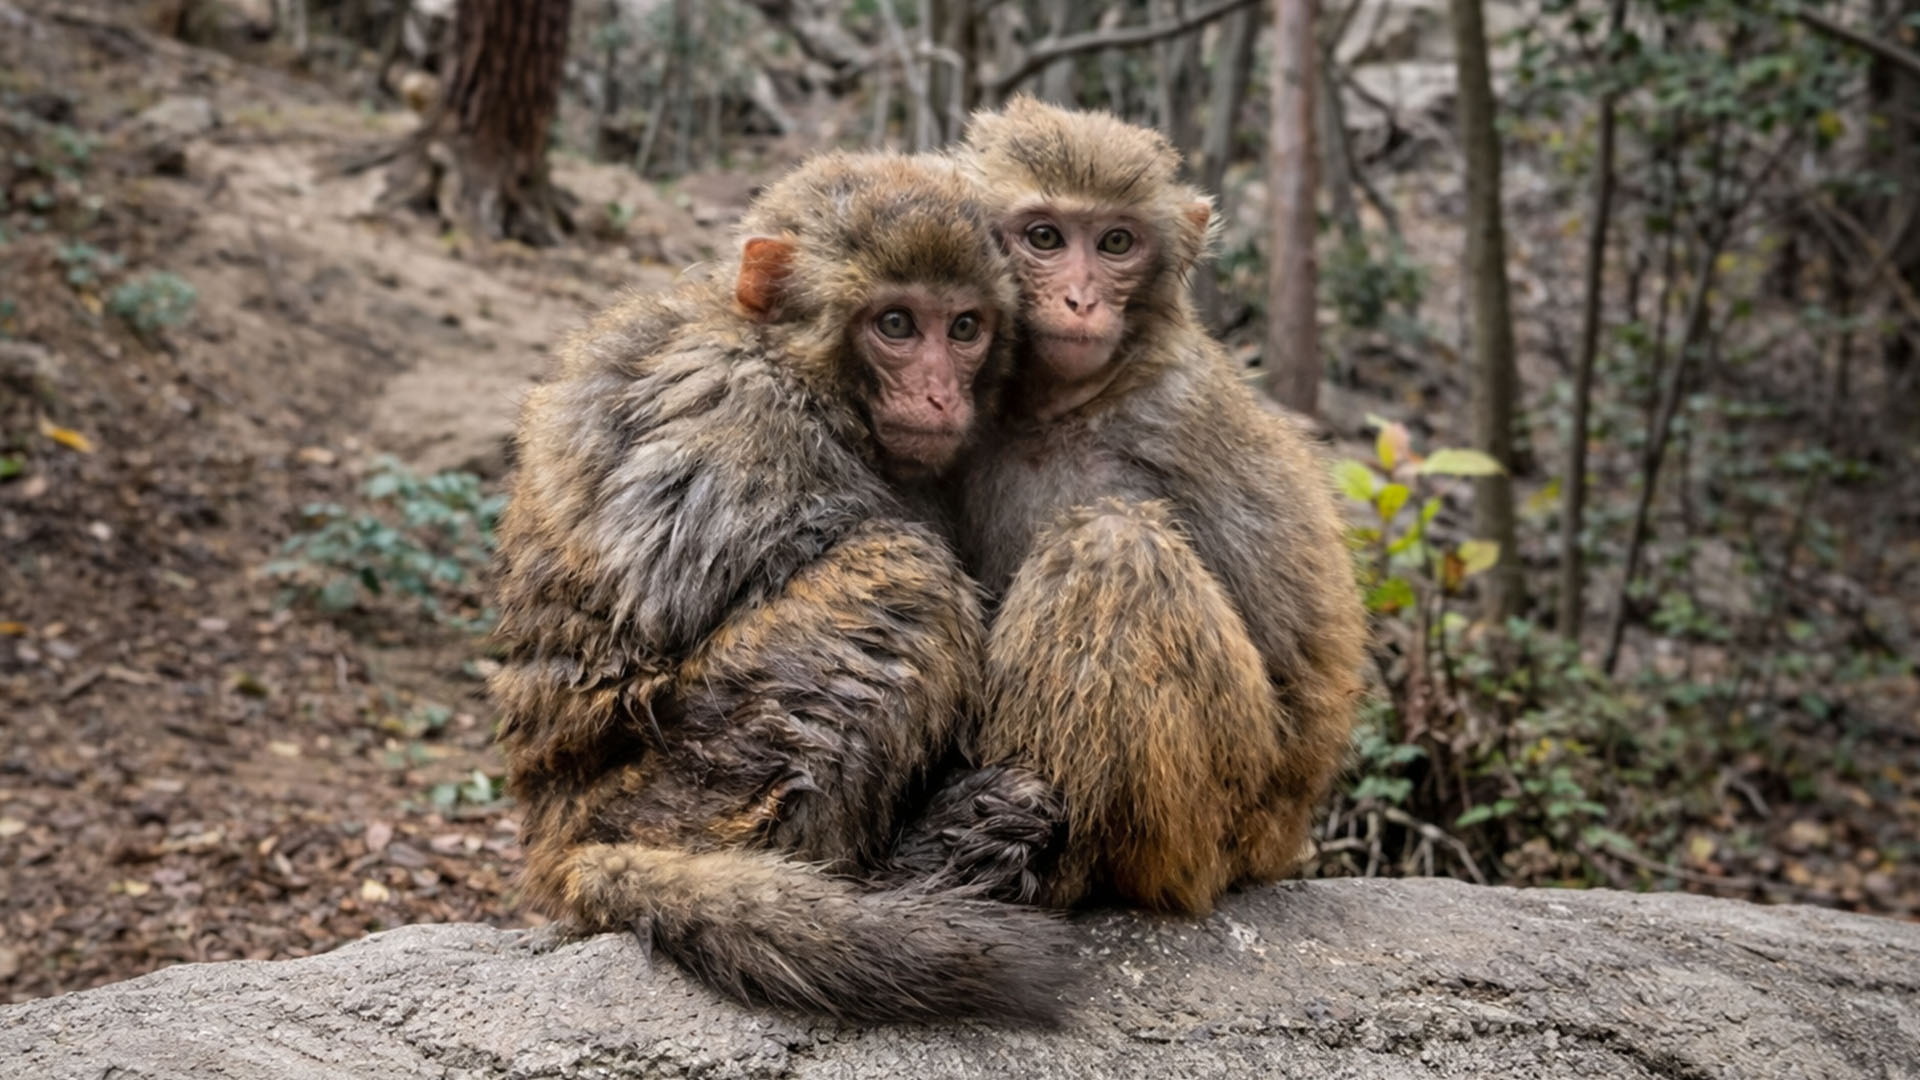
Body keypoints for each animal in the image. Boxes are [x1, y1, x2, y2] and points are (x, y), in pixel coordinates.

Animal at [489, 150, 1077, 1024]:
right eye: (896, 325)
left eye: (964, 328)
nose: (939, 394)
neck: (803, 376)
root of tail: (554, 832)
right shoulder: (745, 426)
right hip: (676, 794)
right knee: (900, 572)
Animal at [895, 98, 1369, 916]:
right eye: (1045, 238)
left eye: (1116, 242)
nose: (1081, 300)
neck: (1059, 412)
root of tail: (1282, 840)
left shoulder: (1180, 415)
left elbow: (1296, 663)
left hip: (1221, 816)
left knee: (1114, 549)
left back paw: (1045, 861)